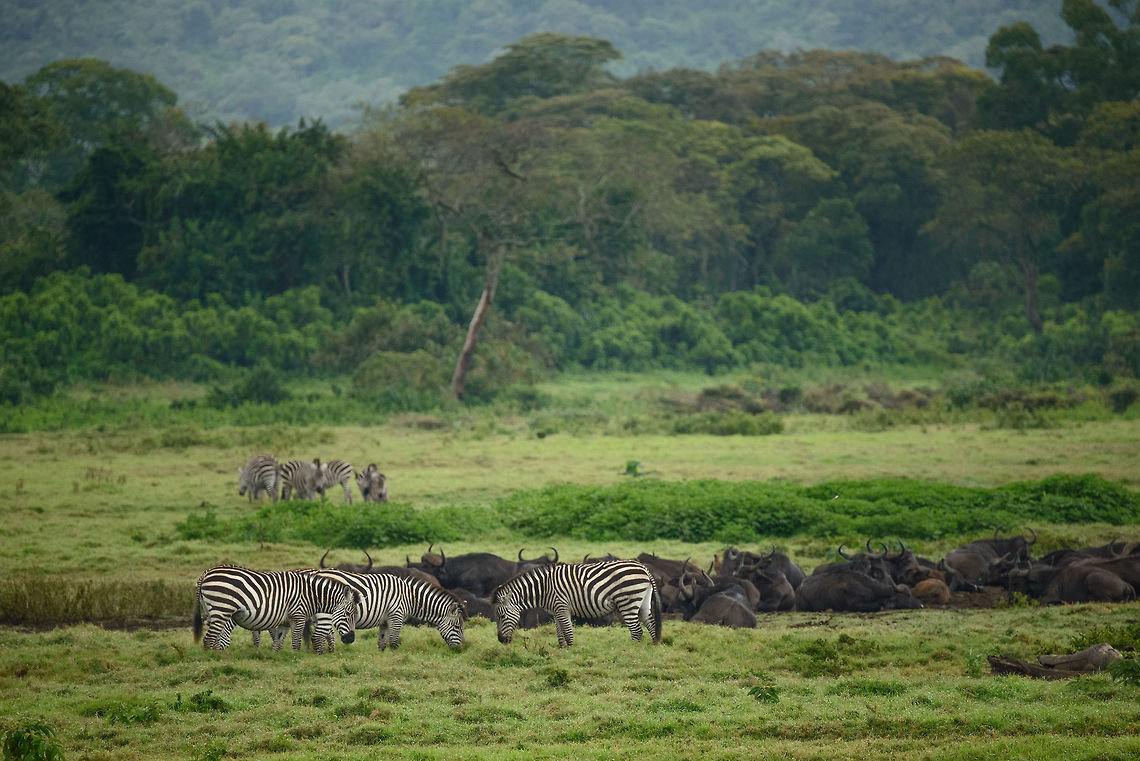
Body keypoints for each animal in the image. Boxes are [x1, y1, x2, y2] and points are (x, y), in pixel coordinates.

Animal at [193, 565, 359, 653]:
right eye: (348, 613)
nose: (351, 639)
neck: (310, 594)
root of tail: (205, 573)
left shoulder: (285, 621)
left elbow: (278, 641)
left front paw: (275, 657)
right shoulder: (298, 616)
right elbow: (296, 642)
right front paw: (296, 658)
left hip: (212, 611)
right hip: (222, 608)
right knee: (209, 639)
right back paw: (212, 659)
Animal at [313, 569, 466, 650]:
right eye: (457, 627)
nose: (462, 647)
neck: (409, 598)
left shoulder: (385, 621)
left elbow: (382, 643)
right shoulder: (396, 616)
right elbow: (393, 642)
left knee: (327, 635)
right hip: (326, 614)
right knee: (319, 636)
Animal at [491, 559, 663, 648]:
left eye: (501, 616)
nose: (501, 640)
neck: (544, 589)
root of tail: (643, 568)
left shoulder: (562, 607)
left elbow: (568, 632)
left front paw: (571, 650)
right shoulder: (556, 610)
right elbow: (560, 633)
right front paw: (562, 649)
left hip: (627, 601)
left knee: (636, 631)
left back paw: (630, 651)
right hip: (643, 600)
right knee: (651, 624)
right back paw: (653, 646)